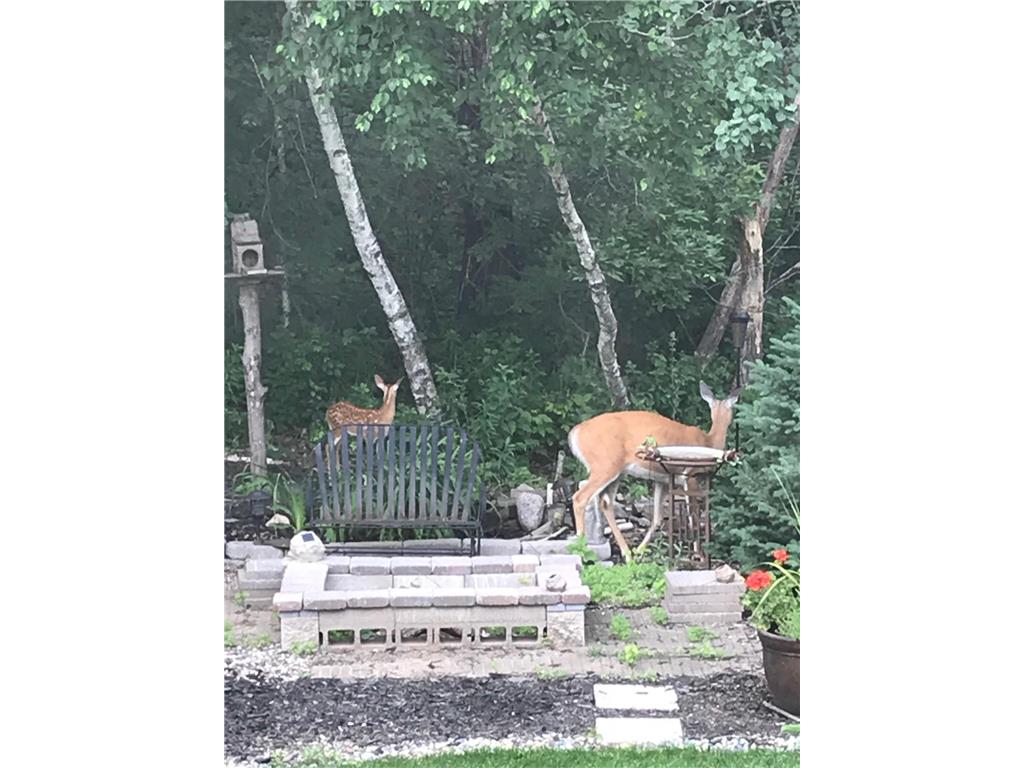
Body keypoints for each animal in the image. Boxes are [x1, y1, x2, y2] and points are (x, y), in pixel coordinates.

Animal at [567, 381, 740, 561]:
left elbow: (657, 517)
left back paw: (628, 554)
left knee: (605, 503)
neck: (708, 441)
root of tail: (575, 433)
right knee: (580, 498)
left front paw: (640, 550)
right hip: (604, 465)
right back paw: (581, 551)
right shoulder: (689, 475)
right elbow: (693, 514)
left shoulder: (662, 480)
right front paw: (698, 553)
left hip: (617, 472)